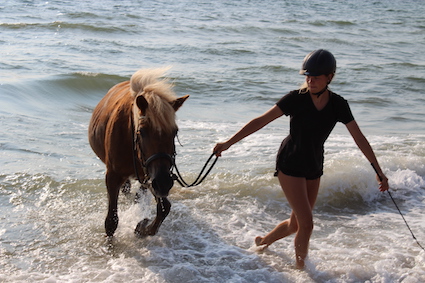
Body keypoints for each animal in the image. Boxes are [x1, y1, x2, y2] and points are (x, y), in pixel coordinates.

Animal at [88, 68, 188, 237]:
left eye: (174, 132)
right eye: (142, 131)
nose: (164, 183)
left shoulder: (152, 177)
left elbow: (164, 208)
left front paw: (142, 227)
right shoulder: (113, 176)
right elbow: (111, 222)